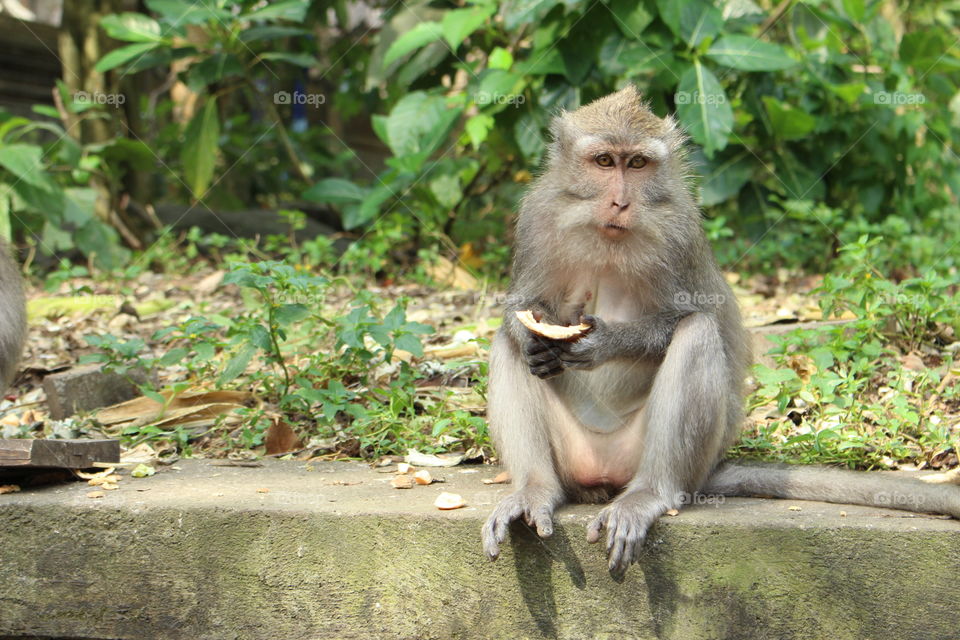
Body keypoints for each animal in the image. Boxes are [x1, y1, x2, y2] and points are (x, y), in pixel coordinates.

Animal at [481, 86, 960, 575]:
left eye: (637, 164)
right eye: (603, 161)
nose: (620, 202)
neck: (606, 234)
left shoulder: (681, 232)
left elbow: (690, 315)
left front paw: (604, 343)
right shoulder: (538, 216)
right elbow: (521, 308)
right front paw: (533, 339)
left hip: (677, 457)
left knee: (696, 334)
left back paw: (649, 494)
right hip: (575, 455)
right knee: (506, 346)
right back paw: (535, 490)